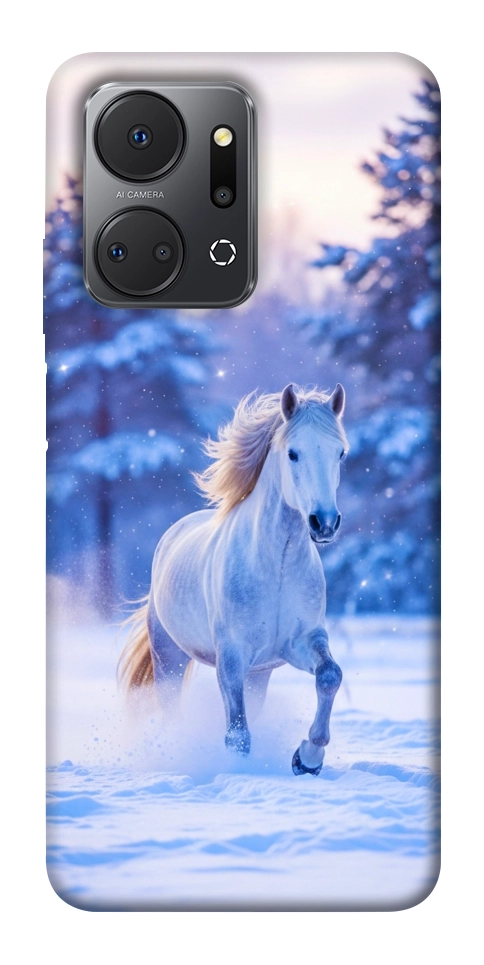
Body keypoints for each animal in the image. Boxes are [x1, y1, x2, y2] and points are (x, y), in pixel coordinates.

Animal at [119, 382, 348, 775]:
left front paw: (307, 758)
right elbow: (237, 734)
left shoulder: (301, 642)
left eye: (340, 454)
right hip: (169, 658)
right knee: (171, 709)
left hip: (259, 674)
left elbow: (330, 676)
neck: (276, 567)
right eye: (293, 453)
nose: (324, 523)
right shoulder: (231, 656)